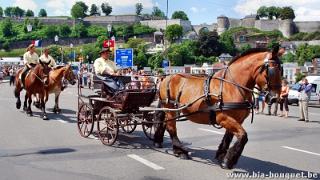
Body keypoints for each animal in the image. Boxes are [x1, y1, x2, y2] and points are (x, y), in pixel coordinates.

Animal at [154, 47, 284, 169]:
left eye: (281, 70)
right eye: (271, 71)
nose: (275, 98)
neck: (232, 86)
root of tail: (165, 78)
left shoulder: (237, 120)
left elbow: (229, 138)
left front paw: (222, 156)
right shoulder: (223, 118)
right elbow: (243, 136)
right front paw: (229, 161)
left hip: (172, 110)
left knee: (165, 123)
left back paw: (159, 141)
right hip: (169, 107)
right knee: (171, 127)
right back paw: (180, 151)